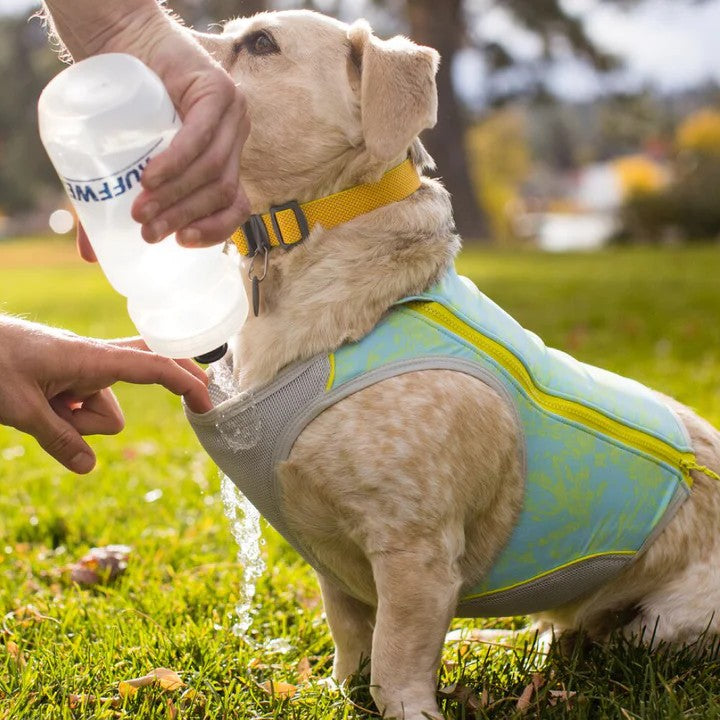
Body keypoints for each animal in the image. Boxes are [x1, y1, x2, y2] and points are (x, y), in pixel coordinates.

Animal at [187, 12, 720, 720]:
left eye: (262, 44)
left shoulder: (416, 554)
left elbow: (394, 659)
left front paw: (407, 707)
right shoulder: (336, 568)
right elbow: (350, 639)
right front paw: (336, 690)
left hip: (663, 627)